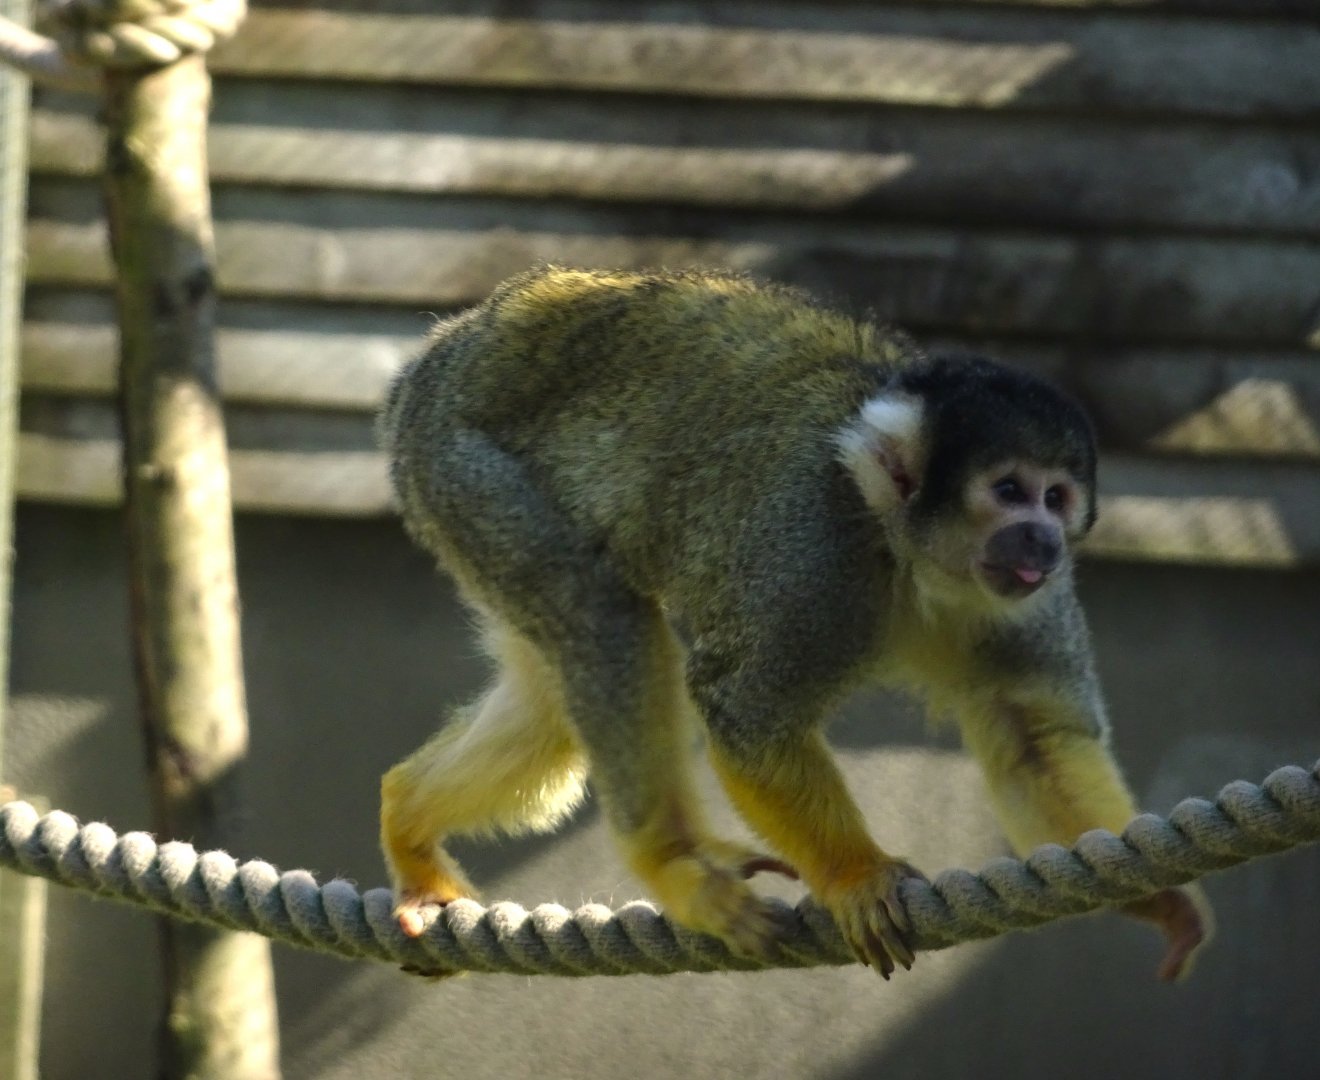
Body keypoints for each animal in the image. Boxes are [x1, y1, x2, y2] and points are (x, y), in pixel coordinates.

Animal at [377, 266, 1211, 981]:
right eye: (1009, 491)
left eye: (1057, 497)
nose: (1041, 539)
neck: (902, 550)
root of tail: (447, 349)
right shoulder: (814, 553)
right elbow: (750, 717)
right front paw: (857, 876)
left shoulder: (1029, 596)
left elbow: (1033, 739)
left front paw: (1161, 901)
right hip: (470, 469)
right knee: (604, 622)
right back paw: (673, 861)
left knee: (552, 690)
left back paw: (408, 817)